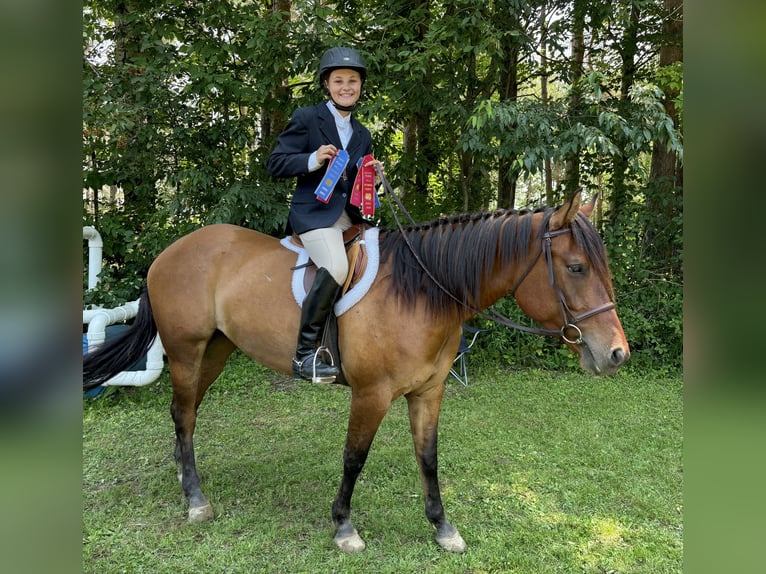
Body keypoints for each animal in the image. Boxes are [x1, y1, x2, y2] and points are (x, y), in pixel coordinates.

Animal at [83, 192, 629, 553]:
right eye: (576, 267)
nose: (617, 354)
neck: (423, 291)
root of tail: (171, 251)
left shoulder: (429, 392)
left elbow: (429, 458)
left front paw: (442, 527)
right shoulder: (371, 394)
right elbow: (353, 459)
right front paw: (344, 527)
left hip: (214, 352)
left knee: (187, 413)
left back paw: (184, 475)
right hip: (186, 351)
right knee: (183, 414)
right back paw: (196, 499)